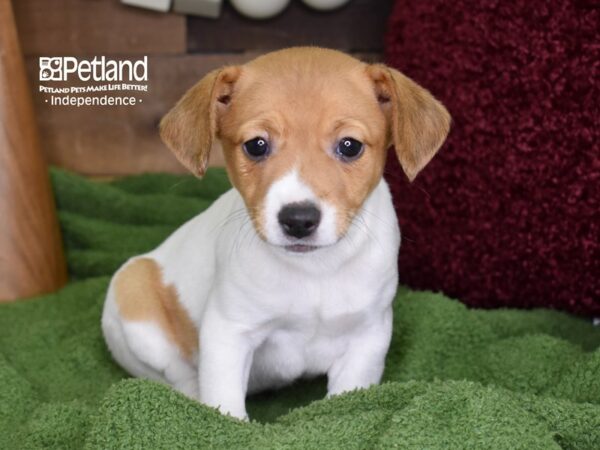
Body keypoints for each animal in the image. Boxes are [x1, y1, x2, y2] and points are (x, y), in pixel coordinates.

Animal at [102, 47, 450, 420]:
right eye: (256, 145)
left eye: (350, 146)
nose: (298, 220)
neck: (314, 270)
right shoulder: (228, 332)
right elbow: (226, 406)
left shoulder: (367, 338)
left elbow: (346, 400)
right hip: (135, 299)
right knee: (179, 375)